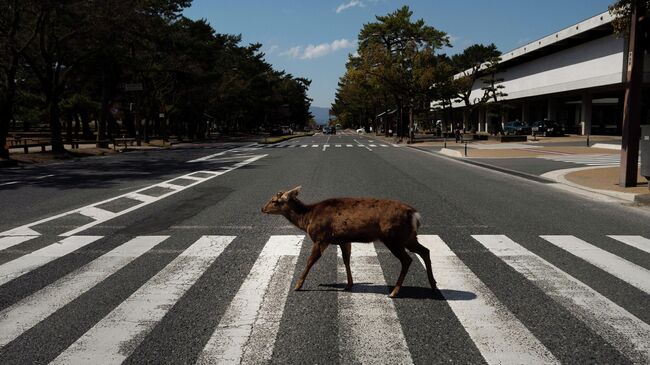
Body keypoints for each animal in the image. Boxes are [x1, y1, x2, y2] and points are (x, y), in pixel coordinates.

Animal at [260, 186, 436, 298]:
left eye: (275, 201)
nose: (262, 208)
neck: (307, 218)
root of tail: (414, 214)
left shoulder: (321, 238)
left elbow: (310, 261)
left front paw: (297, 285)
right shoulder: (343, 240)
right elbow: (346, 260)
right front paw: (349, 284)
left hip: (393, 237)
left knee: (407, 259)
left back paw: (394, 292)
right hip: (408, 237)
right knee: (425, 251)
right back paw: (433, 285)